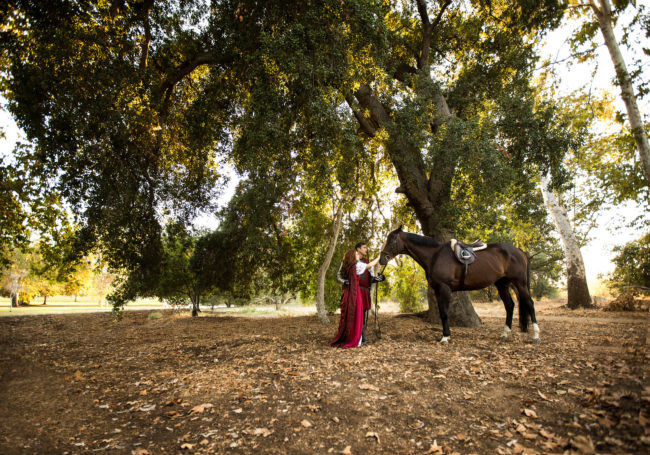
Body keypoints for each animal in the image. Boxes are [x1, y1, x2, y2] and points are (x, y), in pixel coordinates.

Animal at [378, 224, 540, 346]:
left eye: (392, 240)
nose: (382, 259)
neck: (435, 256)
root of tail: (520, 252)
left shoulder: (444, 288)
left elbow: (444, 312)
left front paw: (445, 337)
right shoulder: (437, 290)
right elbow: (442, 313)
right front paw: (446, 335)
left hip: (520, 283)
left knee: (529, 303)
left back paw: (536, 336)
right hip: (502, 284)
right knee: (509, 305)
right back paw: (505, 334)